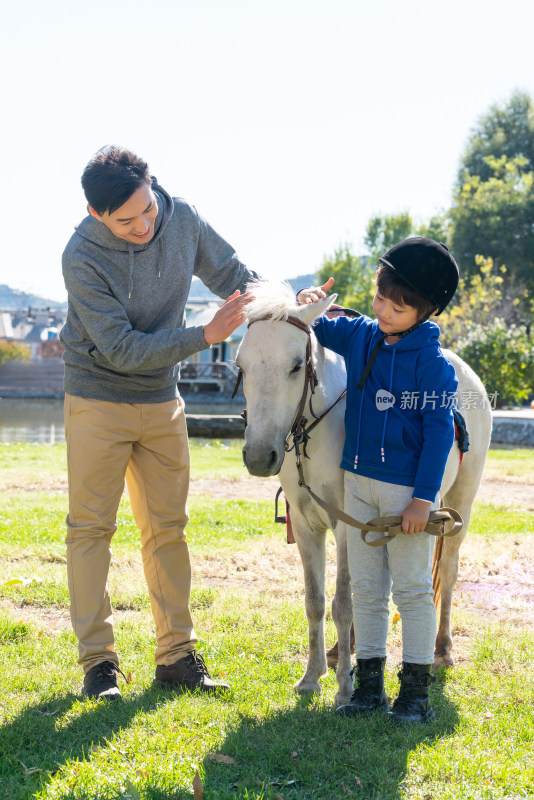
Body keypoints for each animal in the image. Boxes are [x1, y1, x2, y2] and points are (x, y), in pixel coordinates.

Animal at [239, 278, 494, 704]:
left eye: (295, 366)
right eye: (240, 366)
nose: (259, 456)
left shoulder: (347, 525)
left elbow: (343, 602)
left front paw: (344, 687)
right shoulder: (306, 527)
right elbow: (315, 601)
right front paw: (312, 676)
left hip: (459, 502)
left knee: (447, 570)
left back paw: (441, 649)